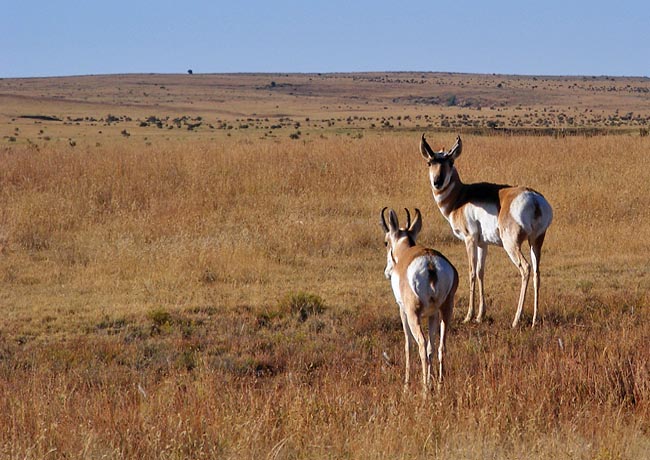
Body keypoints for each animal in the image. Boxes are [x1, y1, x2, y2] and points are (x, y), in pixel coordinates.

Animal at [378, 208, 458, 392]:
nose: (387, 272)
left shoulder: (403, 311)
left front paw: (406, 385)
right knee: (440, 346)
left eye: (386, 242)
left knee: (420, 344)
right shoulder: (432, 314)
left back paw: (424, 389)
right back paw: (439, 385)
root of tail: (430, 263)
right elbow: (431, 347)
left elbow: (408, 345)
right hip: (445, 310)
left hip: (413, 314)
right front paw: (431, 378)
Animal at [418, 135, 548, 328]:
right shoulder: (482, 244)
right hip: (536, 242)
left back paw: (516, 320)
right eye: (429, 162)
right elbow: (480, 272)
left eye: (450, 161)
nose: (437, 182)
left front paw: (469, 316)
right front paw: (480, 315)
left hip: (512, 245)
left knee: (525, 268)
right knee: (537, 273)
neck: (461, 197)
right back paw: (534, 320)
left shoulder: (469, 239)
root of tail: (534, 199)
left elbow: (471, 272)